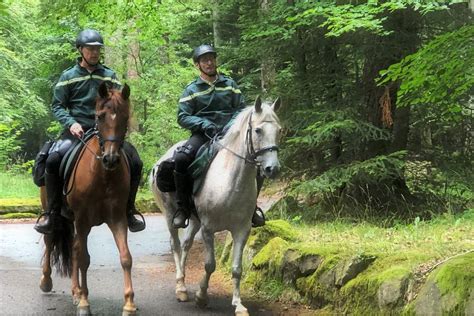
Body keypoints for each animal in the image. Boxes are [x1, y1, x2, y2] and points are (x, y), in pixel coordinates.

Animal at [38, 82, 136, 314]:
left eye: (125, 117)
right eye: (100, 116)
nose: (111, 159)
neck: (103, 176)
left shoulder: (117, 218)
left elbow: (125, 258)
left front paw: (129, 303)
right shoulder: (82, 220)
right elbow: (83, 259)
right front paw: (84, 303)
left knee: (73, 249)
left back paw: (75, 291)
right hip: (56, 214)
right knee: (50, 240)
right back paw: (46, 281)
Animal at [150, 97, 280, 316]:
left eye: (279, 130)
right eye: (258, 130)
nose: (273, 169)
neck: (231, 182)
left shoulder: (241, 230)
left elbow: (237, 269)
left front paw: (238, 304)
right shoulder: (208, 229)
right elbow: (210, 265)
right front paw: (201, 297)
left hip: (194, 220)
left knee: (185, 245)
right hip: (169, 216)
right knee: (175, 245)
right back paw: (181, 288)